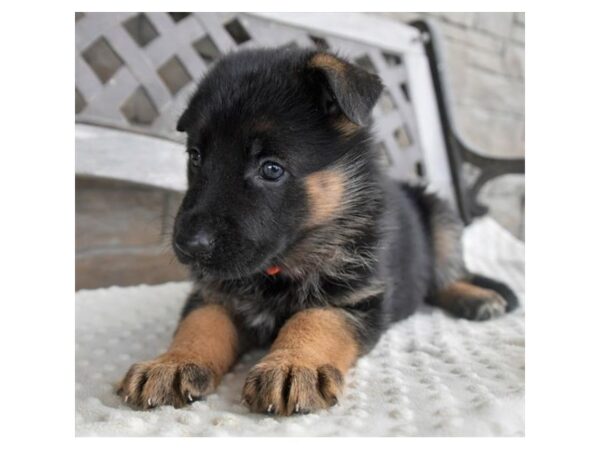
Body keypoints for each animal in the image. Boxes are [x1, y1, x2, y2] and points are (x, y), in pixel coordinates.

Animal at [118, 46, 520, 414]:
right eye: (195, 157)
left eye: (271, 168)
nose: (187, 246)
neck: (279, 268)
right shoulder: (213, 292)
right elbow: (200, 324)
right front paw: (171, 362)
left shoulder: (357, 298)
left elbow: (315, 319)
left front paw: (293, 364)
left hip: (441, 217)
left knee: (444, 277)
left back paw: (476, 296)